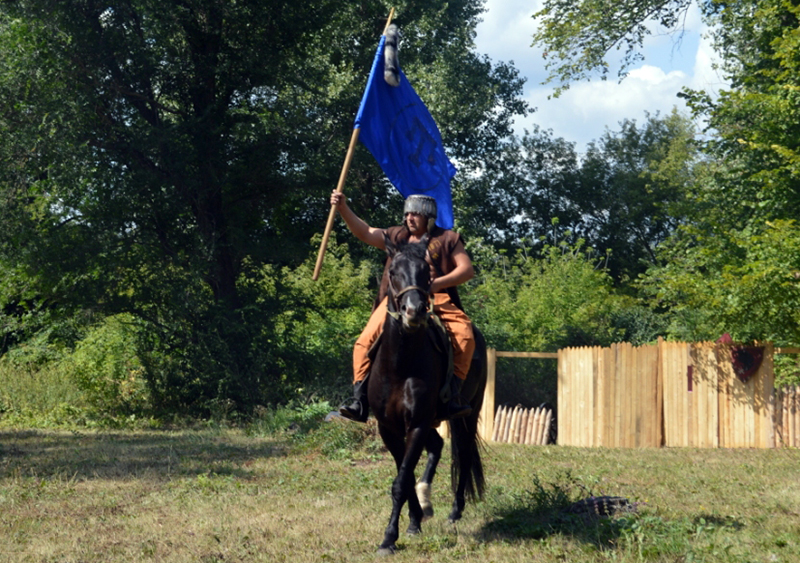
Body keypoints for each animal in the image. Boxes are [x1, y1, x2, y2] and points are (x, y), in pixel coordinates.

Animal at [368, 236, 488, 556]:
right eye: (393, 271)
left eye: (426, 272)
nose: (414, 311)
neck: (400, 365)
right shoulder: (390, 428)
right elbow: (405, 476)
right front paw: (412, 522)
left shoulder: (418, 423)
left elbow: (401, 481)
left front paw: (388, 538)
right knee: (437, 447)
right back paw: (425, 502)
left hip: (467, 414)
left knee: (464, 452)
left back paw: (454, 511)